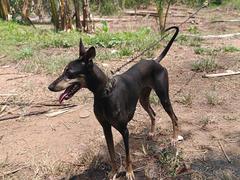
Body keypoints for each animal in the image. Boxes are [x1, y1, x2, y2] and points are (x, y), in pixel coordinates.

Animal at [48, 26, 180, 179]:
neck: (105, 93)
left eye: (69, 73)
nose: (50, 87)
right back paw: (152, 133)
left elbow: (128, 156)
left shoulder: (124, 130)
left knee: (174, 117)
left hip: (164, 97)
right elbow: (111, 153)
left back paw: (174, 139)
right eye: (64, 71)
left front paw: (129, 172)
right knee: (153, 113)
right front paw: (114, 171)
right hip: (143, 99)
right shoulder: (106, 127)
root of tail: (155, 61)